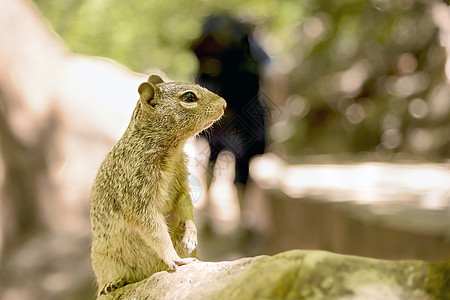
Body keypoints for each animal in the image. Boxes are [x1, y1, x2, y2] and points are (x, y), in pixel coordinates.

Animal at [89, 74, 227, 296]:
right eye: (189, 97)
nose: (224, 104)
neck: (173, 150)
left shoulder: (181, 181)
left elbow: (185, 204)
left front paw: (191, 232)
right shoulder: (137, 196)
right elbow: (155, 231)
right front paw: (175, 258)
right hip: (103, 258)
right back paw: (112, 283)